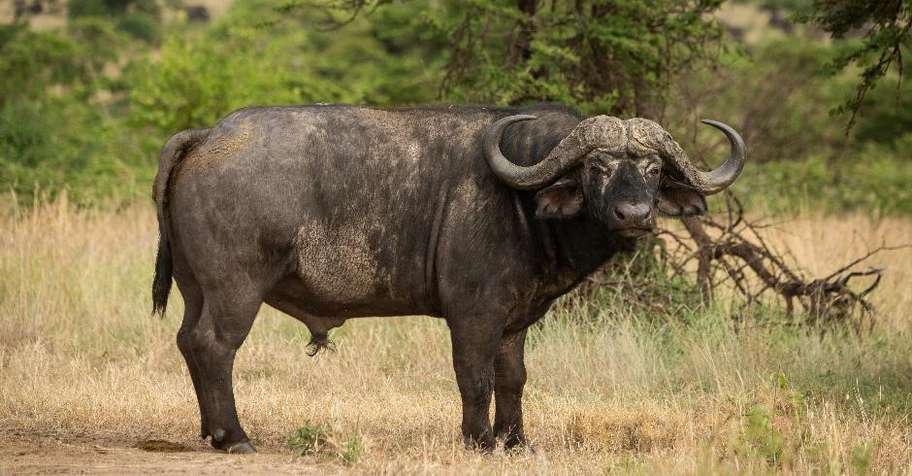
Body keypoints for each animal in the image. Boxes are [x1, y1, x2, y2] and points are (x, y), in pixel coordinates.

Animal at [151, 103, 745, 453]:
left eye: (652, 170)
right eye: (597, 166)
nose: (634, 214)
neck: (524, 201)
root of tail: (208, 135)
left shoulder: (514, 321)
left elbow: (513, 378)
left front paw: (515, 440)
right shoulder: (473, 314)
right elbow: (474, 377)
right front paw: (478, 440)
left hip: (195, 289)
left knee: (187, 342)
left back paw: (209, 431)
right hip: (235, 290)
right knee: (214, 347)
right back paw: (234, 436)